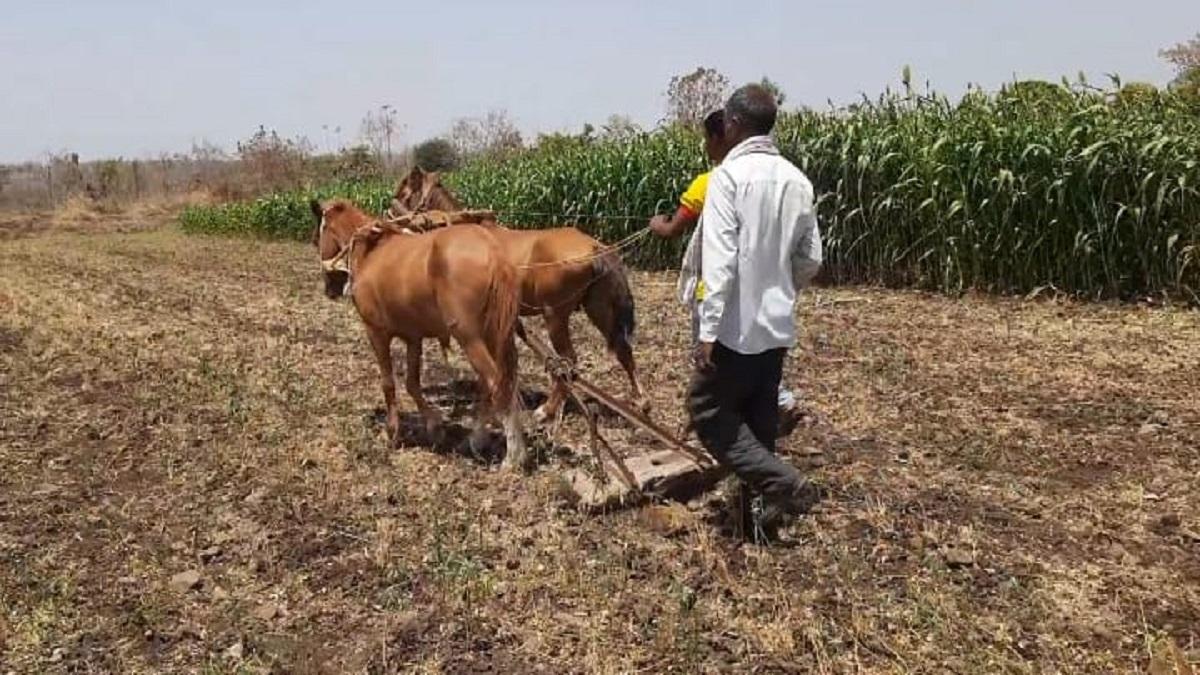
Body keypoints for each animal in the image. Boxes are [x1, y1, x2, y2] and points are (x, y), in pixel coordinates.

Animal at [311, 198, 529, 470]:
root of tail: (492, 251)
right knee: (494, 385)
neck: (372, 250)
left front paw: (392, 432)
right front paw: (434, 426)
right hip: (494, 336)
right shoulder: (413, 337)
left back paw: (513, 455)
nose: (329, 289)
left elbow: (388, 383)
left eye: (318, 234)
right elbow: (412, 383)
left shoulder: (376, 333)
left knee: (496, 383)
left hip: (469, 338)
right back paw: (476, 440)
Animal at [389, 167, 646, 424]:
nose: (390, 220)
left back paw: (547, 410)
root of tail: (595, 247)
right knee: (623, 349)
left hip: (555, 315)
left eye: (403, 192)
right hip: (599, 308)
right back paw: (641, 402)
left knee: (568, 361)